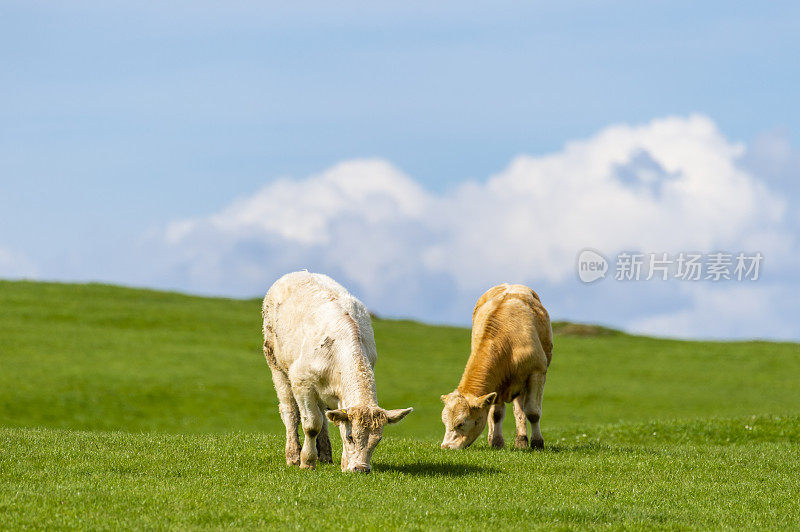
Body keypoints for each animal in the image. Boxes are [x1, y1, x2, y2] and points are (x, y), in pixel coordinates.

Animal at [262, 272, 412, 472]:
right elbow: (311, 424)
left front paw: (343, 463)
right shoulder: (302, 383)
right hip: (275, 363)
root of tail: (296, 273)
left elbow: (335, 421)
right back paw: (293, 455)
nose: (361, 469)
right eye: (351, 437)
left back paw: (325, 454)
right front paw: (307, 461)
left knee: (323, 416)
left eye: (377, 440)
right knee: (290, 410)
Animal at [440, 284, 552, 450]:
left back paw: (522, 440)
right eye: (444, 422)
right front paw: (497, 442)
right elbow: (496, 414)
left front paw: (537, 443)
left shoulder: (537, 373)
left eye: (460, 423)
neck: (508, 344)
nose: (445, 447)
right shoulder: (496, 384)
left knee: (521, 410)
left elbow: (533, 412)